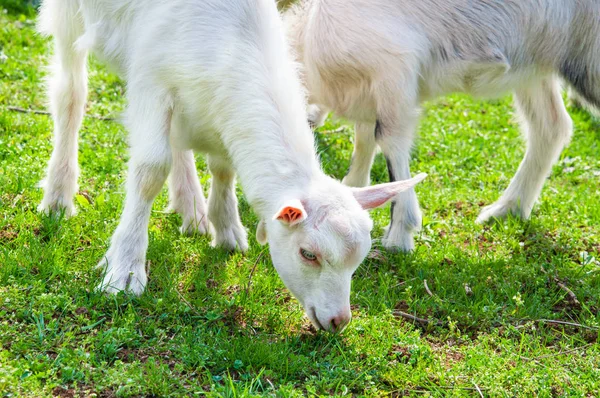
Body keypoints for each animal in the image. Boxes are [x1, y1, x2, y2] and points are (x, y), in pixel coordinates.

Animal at [38, 0, 426, 332]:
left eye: (357, 261)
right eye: (308, 254)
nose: (339, 321)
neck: (236, 42)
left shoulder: (218, 106)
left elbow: (223, 168)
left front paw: (225, 230)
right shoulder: (152, 82)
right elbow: (150, 170)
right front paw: (124, 271)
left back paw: (191, 208)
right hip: (72, 18)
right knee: (71, 92)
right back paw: (58, 195)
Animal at [284, 0, 600, 252]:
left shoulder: (395, 72)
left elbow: (388, 140)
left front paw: (400, 235)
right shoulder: (369, 92)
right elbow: (363, 137)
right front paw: (354, 188)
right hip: (535, 63)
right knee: (551, 126)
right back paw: (507, 209)